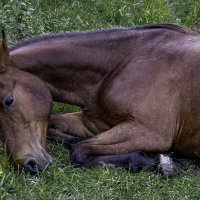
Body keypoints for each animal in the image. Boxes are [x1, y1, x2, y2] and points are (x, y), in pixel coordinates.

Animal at [9, 23, 200, 175]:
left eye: (8, 100)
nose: (29, 164)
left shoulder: (151, 132)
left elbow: (80, 150)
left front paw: (160, 163)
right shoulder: (94, 124)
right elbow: (55, 129)